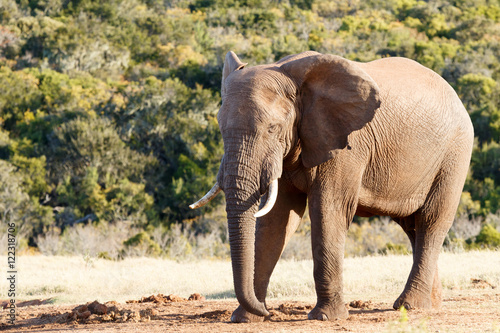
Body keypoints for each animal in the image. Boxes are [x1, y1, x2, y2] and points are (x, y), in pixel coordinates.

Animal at [190, 50, 472, 320]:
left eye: (272, 128)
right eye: (220, 128)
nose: (268, 312)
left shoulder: (345, 145)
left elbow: (328, 211)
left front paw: (325, 316)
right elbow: (276, 220)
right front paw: (245, 317)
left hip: (454, 155)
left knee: (431, 221)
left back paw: (409, 306)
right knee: (412, 226)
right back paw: (429, 304)